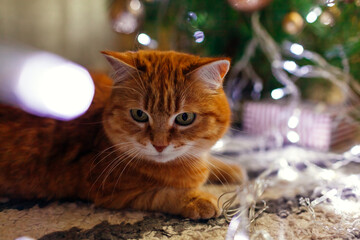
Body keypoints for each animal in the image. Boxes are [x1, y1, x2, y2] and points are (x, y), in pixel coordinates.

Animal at [0, 50, 243, 219]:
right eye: (139, 114)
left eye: (184, 118)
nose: (159, 145)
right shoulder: (113, 193)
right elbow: (163, 194)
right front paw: (197, 198)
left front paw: (231, 169)